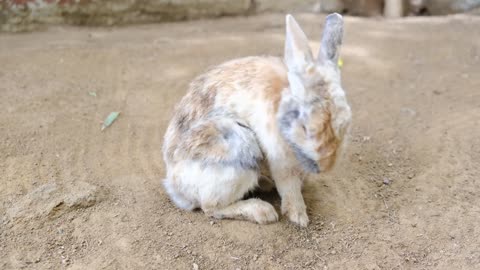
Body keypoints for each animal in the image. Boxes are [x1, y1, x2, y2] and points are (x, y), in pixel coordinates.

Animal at [163, 12, 350, 226]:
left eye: (346, 123)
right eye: (305, 128)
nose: (326, 166)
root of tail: (174, 186)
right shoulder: (279, 157)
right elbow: (289, 186)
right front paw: (299, 217)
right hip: (238, 147)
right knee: (210, 207)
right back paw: (263, 211)